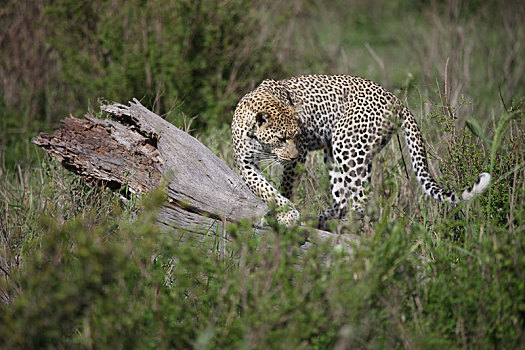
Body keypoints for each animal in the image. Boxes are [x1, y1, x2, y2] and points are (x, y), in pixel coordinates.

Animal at [231, 74, 490, 227]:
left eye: (296, 136)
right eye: (281, 138)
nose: (292, 154)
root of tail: (396, 99)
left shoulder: (300, 155)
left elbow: (285, 187)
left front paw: (284, 215)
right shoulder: (245, 164)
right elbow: (263, 188)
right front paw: (279, 211)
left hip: (347, 146)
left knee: (361, 198)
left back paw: (347, 226)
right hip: (338, 154)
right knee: (344, 200)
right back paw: (322, 220)